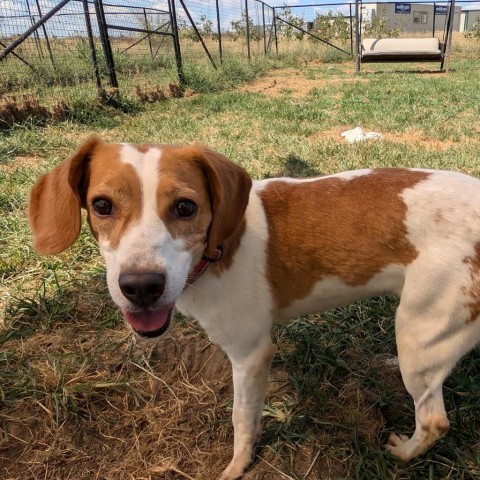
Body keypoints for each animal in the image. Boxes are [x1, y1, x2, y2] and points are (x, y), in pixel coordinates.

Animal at [29, 136, 480, 480]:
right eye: (102, 205)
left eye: (186, 207)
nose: (141, 287)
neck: (215, 249)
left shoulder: (250, 356)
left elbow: (242, 419)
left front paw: (238, 466)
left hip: (420, 334)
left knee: (433, 418)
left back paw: (404, 453)